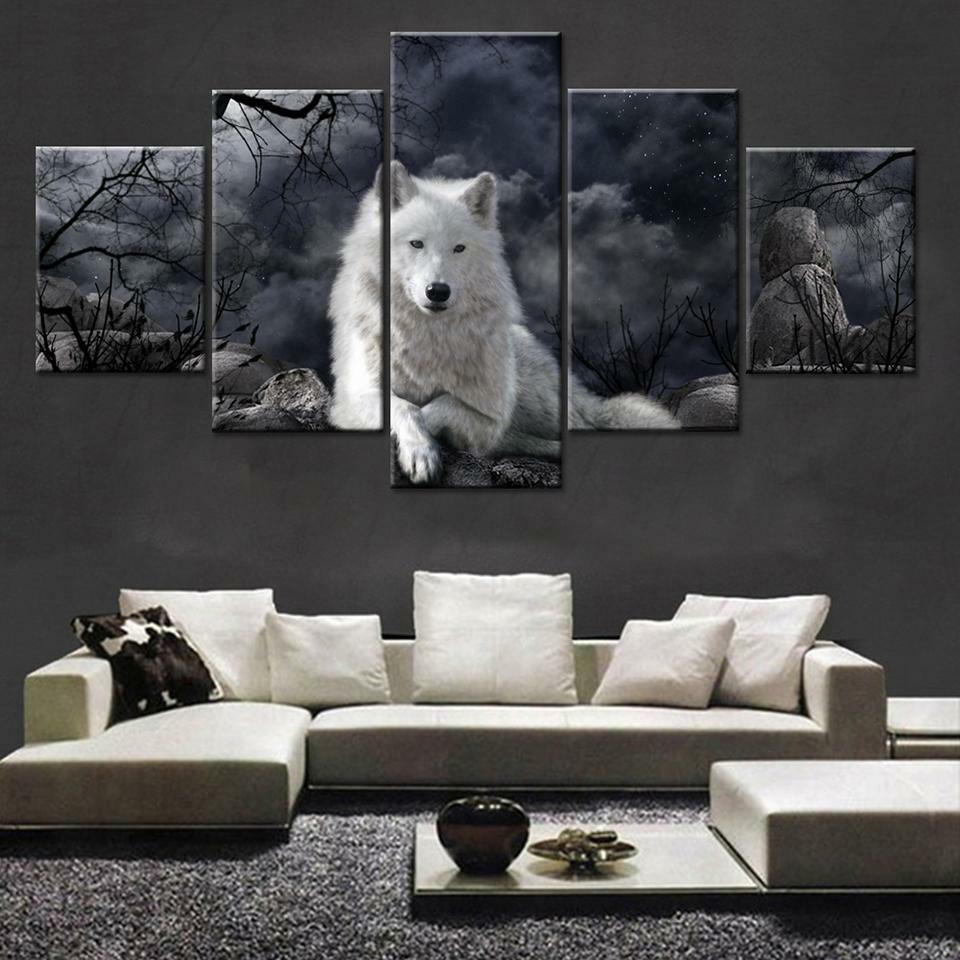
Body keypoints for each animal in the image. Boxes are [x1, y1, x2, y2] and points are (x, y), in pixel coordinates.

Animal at [329, 161, 679, 483]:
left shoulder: (490, 413)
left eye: (459, 248)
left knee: (577, 428)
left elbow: (444, 405)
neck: (428, 337)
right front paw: (420, 451)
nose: (438, 292)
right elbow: (402, 405)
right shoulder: (352, 397)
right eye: (417, 243)